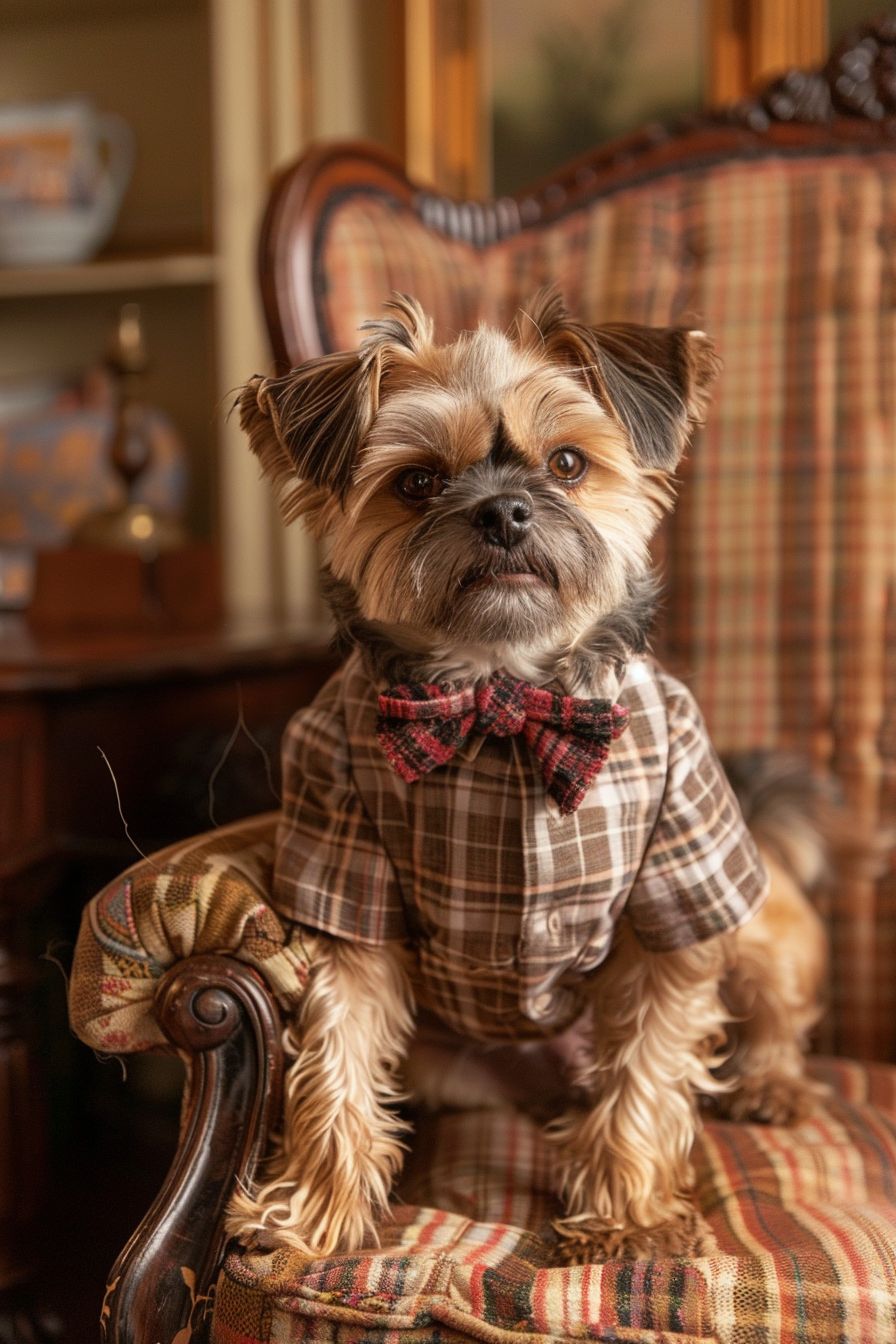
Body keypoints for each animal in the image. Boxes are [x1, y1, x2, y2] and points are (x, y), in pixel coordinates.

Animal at [224, 288, 827, 1263]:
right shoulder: (344, 861)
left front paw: (627, 1213)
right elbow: (334, 1059)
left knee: (775, 1008)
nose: (505, 511)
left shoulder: (673, 892)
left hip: (758, 913)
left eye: (568, 463)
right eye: (418, 482)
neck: (502, 693)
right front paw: (308, 1212)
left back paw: (770, 1085)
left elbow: (648, 1067)